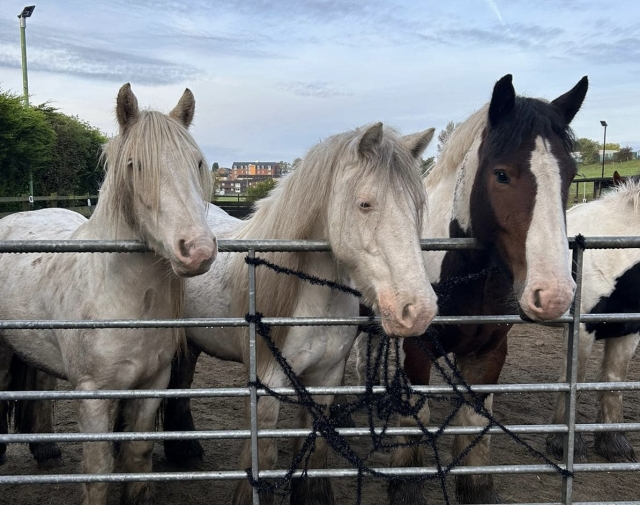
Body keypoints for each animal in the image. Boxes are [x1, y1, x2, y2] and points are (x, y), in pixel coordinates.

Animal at [0, 83, 216, 505]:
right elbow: (99, 472)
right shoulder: (94, 396)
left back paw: (46, 450)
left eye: (197, 163)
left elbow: (137, 460)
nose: (198, 250)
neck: (125, 301)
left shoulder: (152, 387)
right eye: (135, 165)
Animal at [162, 123, 440, 505]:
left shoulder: (325, 381)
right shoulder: (267, 387)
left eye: (418, 206)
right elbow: (263, 460)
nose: (419, 310)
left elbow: (314, 455)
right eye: (364, 203)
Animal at [354, 74, 588, 504]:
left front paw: (476, 485)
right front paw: (405, 482)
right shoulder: (418, 348)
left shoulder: (488, 353)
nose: (553, 295)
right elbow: (417, 418)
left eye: (569, 172)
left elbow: (475, 421)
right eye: (501, 174)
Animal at [546, 179, 640, 463]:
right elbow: (574, 378)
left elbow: (613, 381)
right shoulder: (580, 328)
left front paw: (614, 443)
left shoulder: (628, 331)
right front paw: (563, 443)